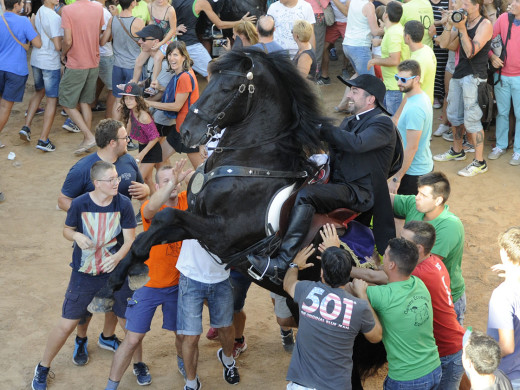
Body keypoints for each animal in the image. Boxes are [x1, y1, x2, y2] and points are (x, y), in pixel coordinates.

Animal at [89, 49, 384, 390]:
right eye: (210, 81)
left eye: (229, 89)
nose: (186, 132)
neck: (252, 163)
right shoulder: (197, 223)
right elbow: (153, 229)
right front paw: (111, 284)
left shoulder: (222, 234)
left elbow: (165, 215)